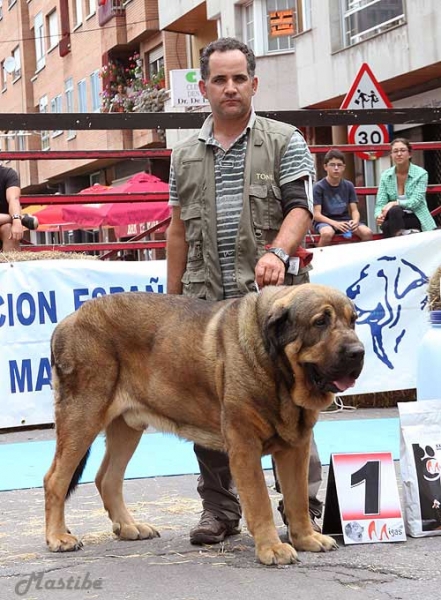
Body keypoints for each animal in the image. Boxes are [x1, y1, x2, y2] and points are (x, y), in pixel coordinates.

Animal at [43, 284, 364, 564]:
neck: (278, 371)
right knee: (55, 479)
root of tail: (66, 322)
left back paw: (129, 527)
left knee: (107, 478)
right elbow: (260, 502)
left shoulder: (296, 447)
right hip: (83, 414)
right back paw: (58, 538)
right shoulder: (245, 447)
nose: (358, 352)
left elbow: (297, 498)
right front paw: (272, 549)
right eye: (320, 321)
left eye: (353, 321)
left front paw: (306, 539)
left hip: (127, 426)